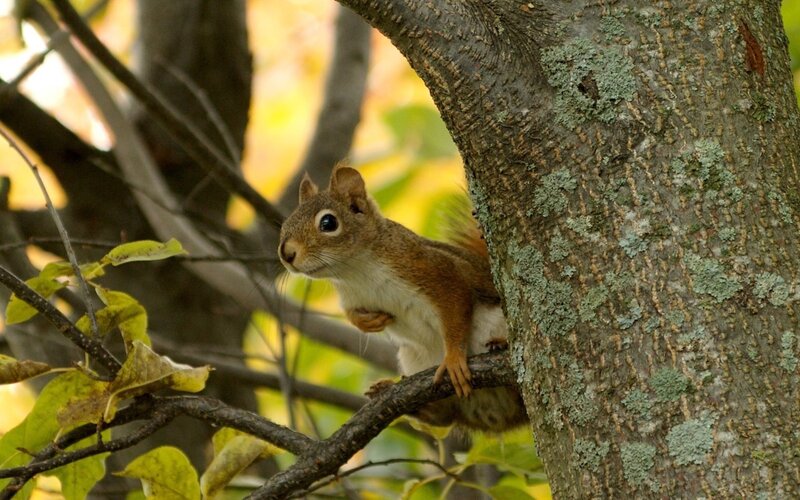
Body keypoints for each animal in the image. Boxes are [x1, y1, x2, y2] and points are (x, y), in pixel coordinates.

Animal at [278, 165, 527, 432]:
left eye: (328, 222)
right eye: (286, 223)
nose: (286, 254)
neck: (356, 272)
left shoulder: (437, 272)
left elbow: (456, 309)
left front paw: (453, 359)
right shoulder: (351, 297)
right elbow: (351, 313)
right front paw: (368, 322)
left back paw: (501, 343)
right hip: (412, 358)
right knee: (445, 416)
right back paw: (406, 399)